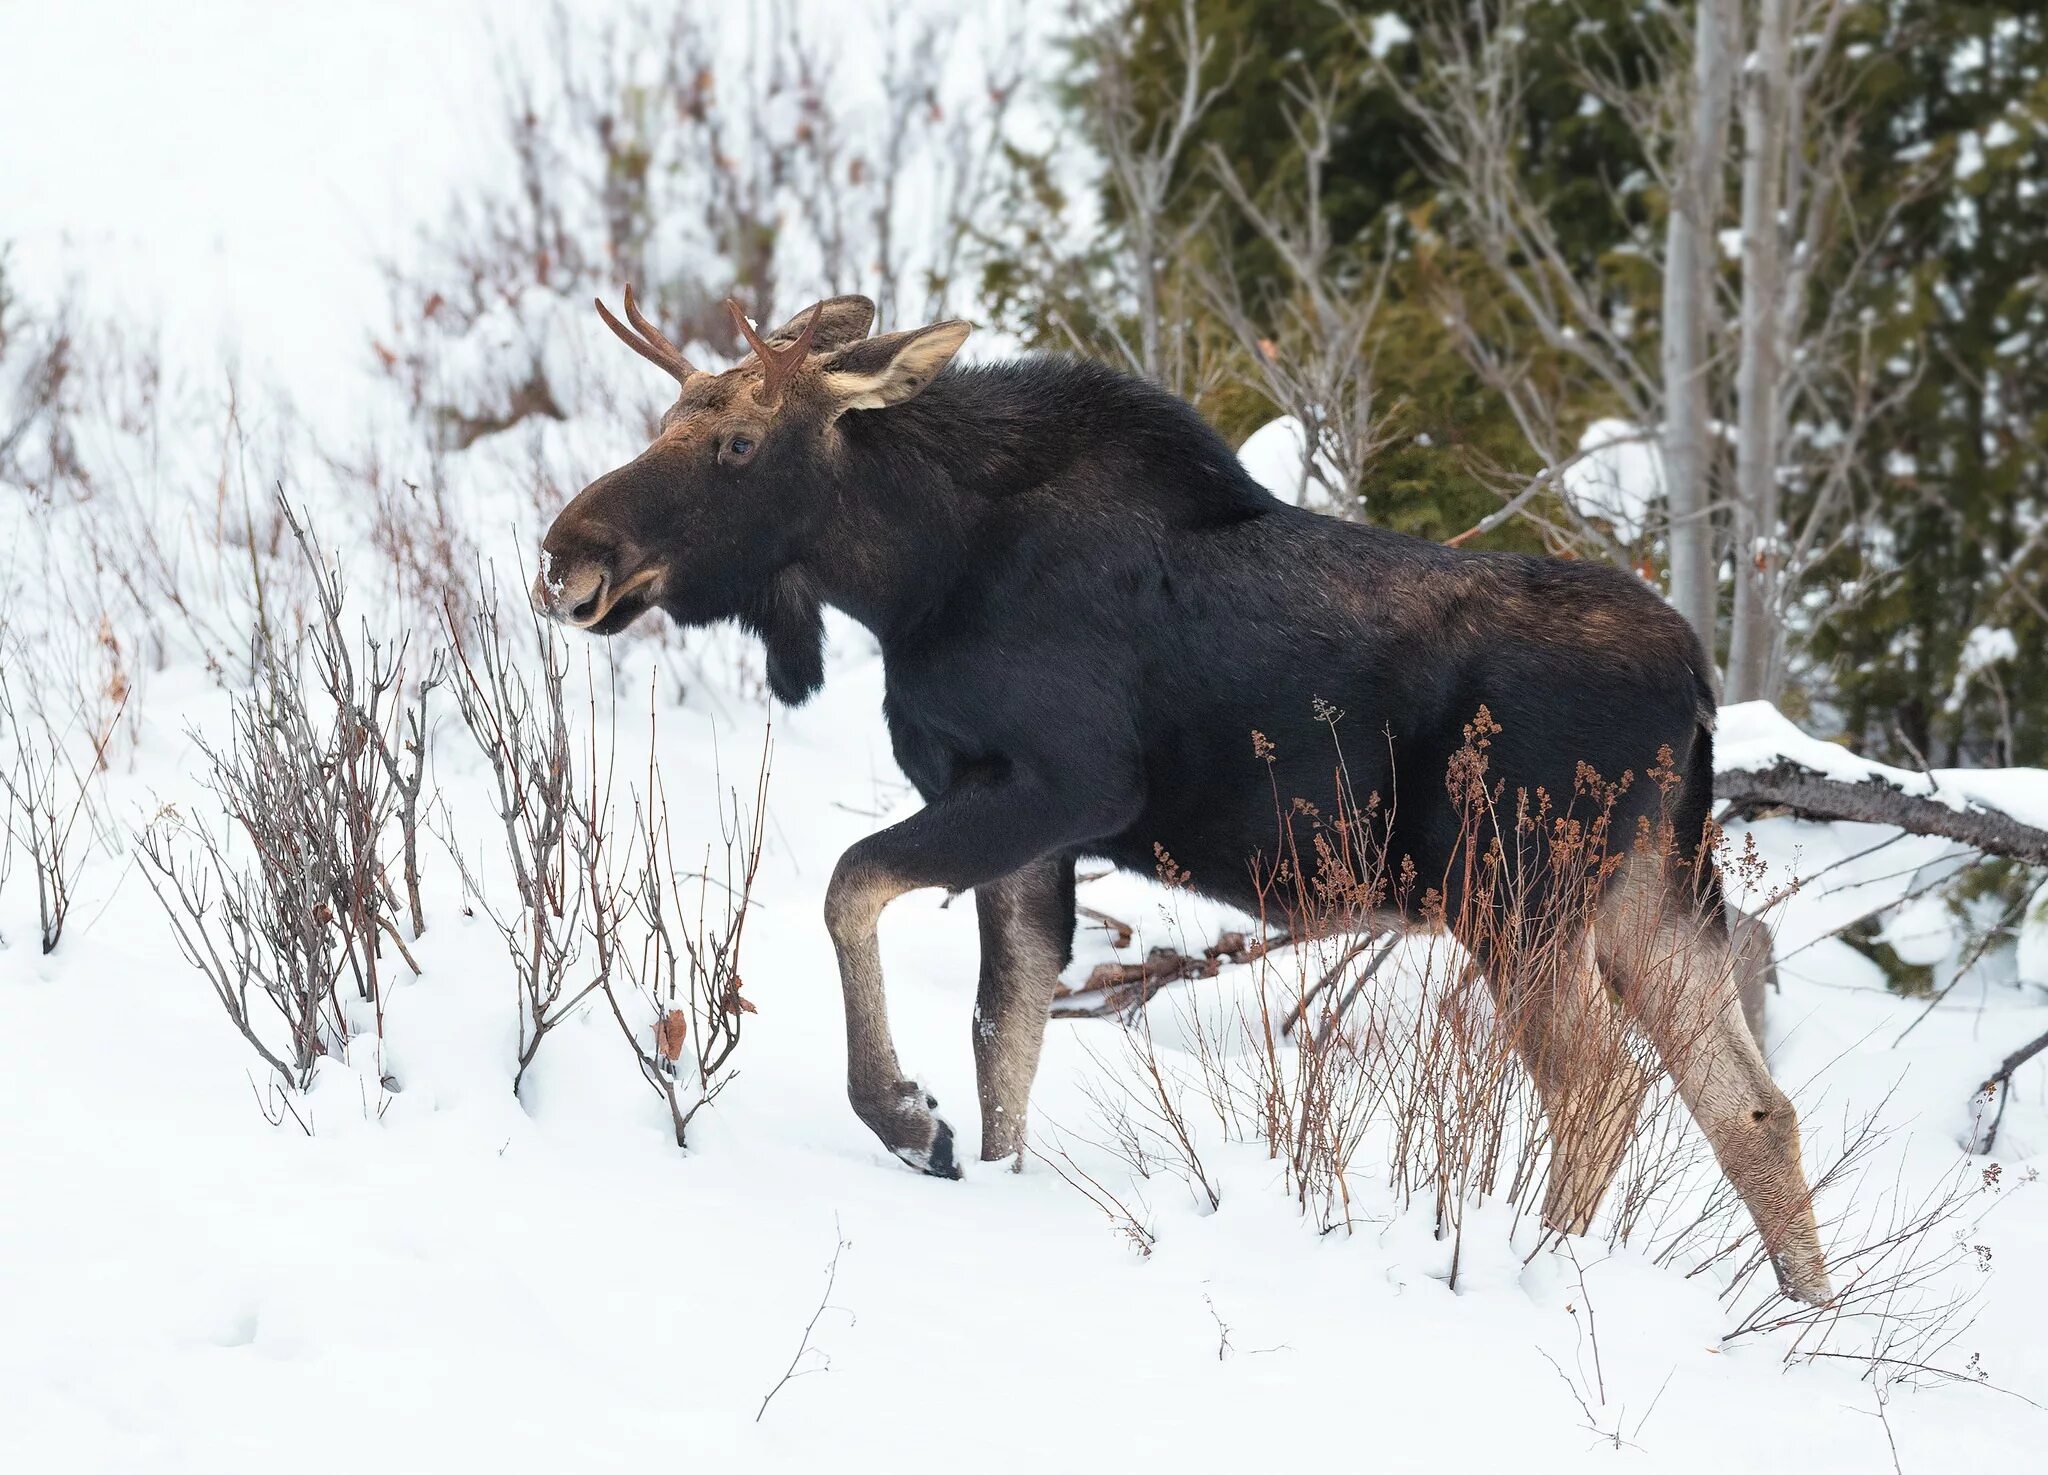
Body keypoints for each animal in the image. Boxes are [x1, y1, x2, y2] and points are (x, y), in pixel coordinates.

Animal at [536, 288, 1835, 1302]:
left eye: (738, 443)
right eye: (667, 421)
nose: (567, 553)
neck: (908, 573)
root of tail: (1696, 687)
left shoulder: (1058, 782)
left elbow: (853, 889)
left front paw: (907, 1116)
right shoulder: (1030, 829)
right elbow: (1004, 1033)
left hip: (1517, 891)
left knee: (1599, 1089)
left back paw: (1543, 1270)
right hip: (1651, 888)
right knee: (1751, 1107)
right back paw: (1802, 1319)